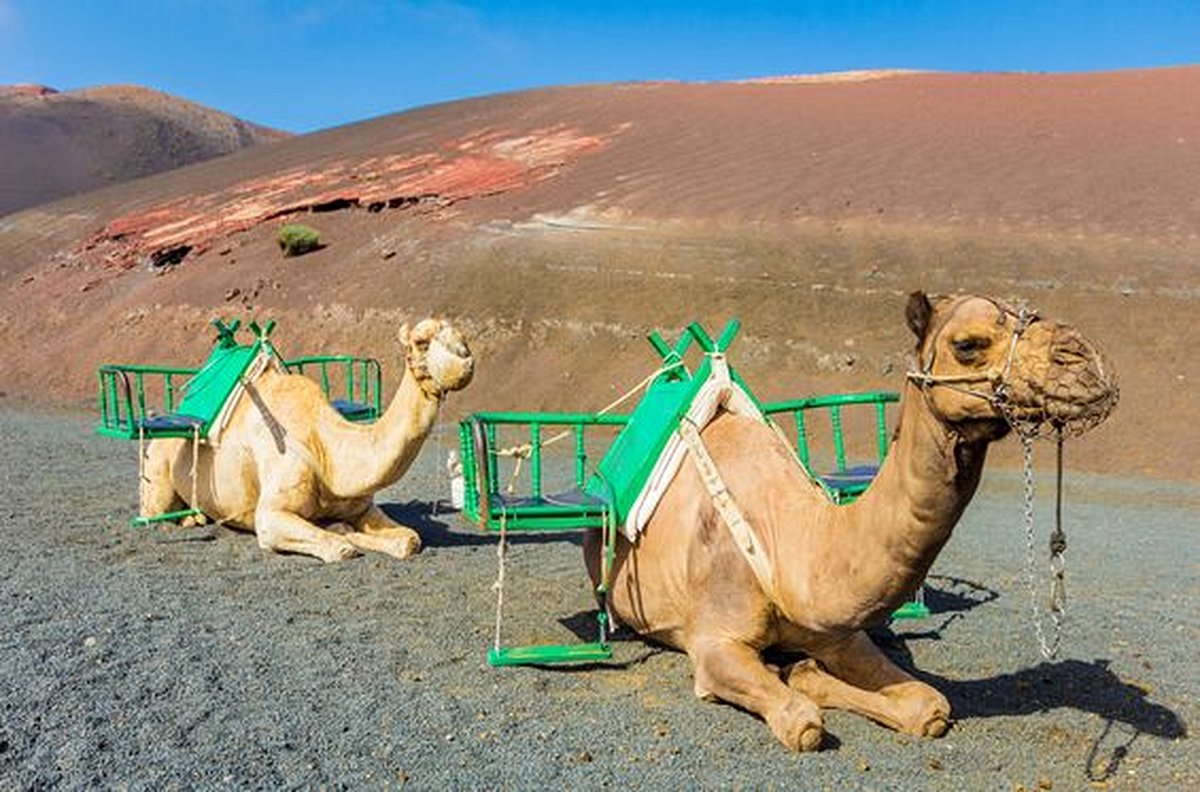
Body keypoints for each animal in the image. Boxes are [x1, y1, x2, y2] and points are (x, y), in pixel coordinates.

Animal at [139, 316, 472, 564]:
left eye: (463, 338)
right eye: (421, 342)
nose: (466, 364)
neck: (327, 452)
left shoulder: (362, 507)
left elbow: (410, 539)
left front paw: (348, 528)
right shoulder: (269, 516)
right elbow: (341, 547)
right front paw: (343, 533)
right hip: (156, 470)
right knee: (155, 512)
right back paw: (187, 520)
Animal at [585, 294, 1118, 753]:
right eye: (968, 344)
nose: (1085, 358)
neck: (787, 543)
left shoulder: (840, 634)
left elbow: (929, 705)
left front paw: (809, 674)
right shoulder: (714, 645)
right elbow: (801, 723)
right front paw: (791, 685)